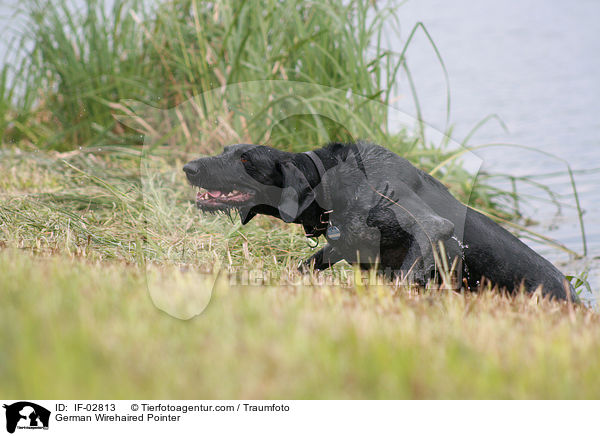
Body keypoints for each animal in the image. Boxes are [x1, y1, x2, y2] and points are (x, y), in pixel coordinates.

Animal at [183, 141, 576, 302]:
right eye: (225, 151)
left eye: (245, 160)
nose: (189, 167)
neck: (330, 182)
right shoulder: (343, 242)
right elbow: (311, 263)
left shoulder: (432, 229)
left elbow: (405, 277)